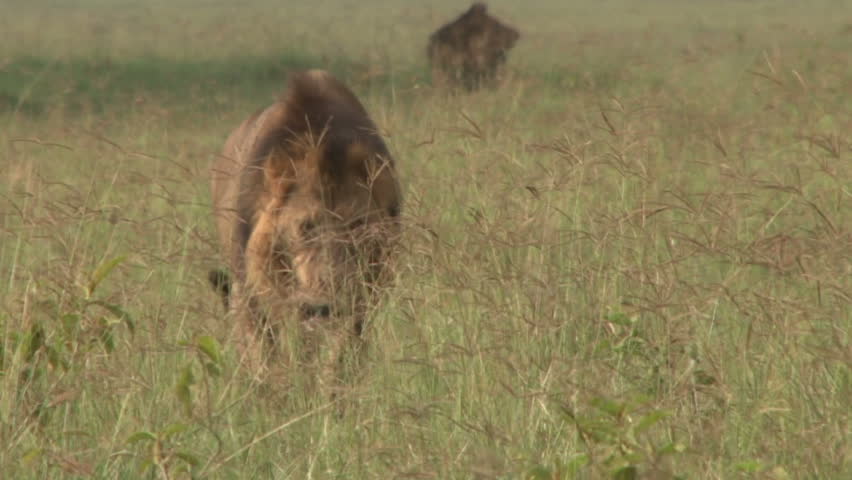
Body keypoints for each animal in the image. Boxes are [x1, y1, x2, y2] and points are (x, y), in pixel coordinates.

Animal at [209, 70, 402, 389]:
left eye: (356, 225)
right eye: (305, 226)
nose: (324, 303)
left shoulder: (360, 299)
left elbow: (340, 354)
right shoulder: (248, 292)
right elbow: (265, 354)